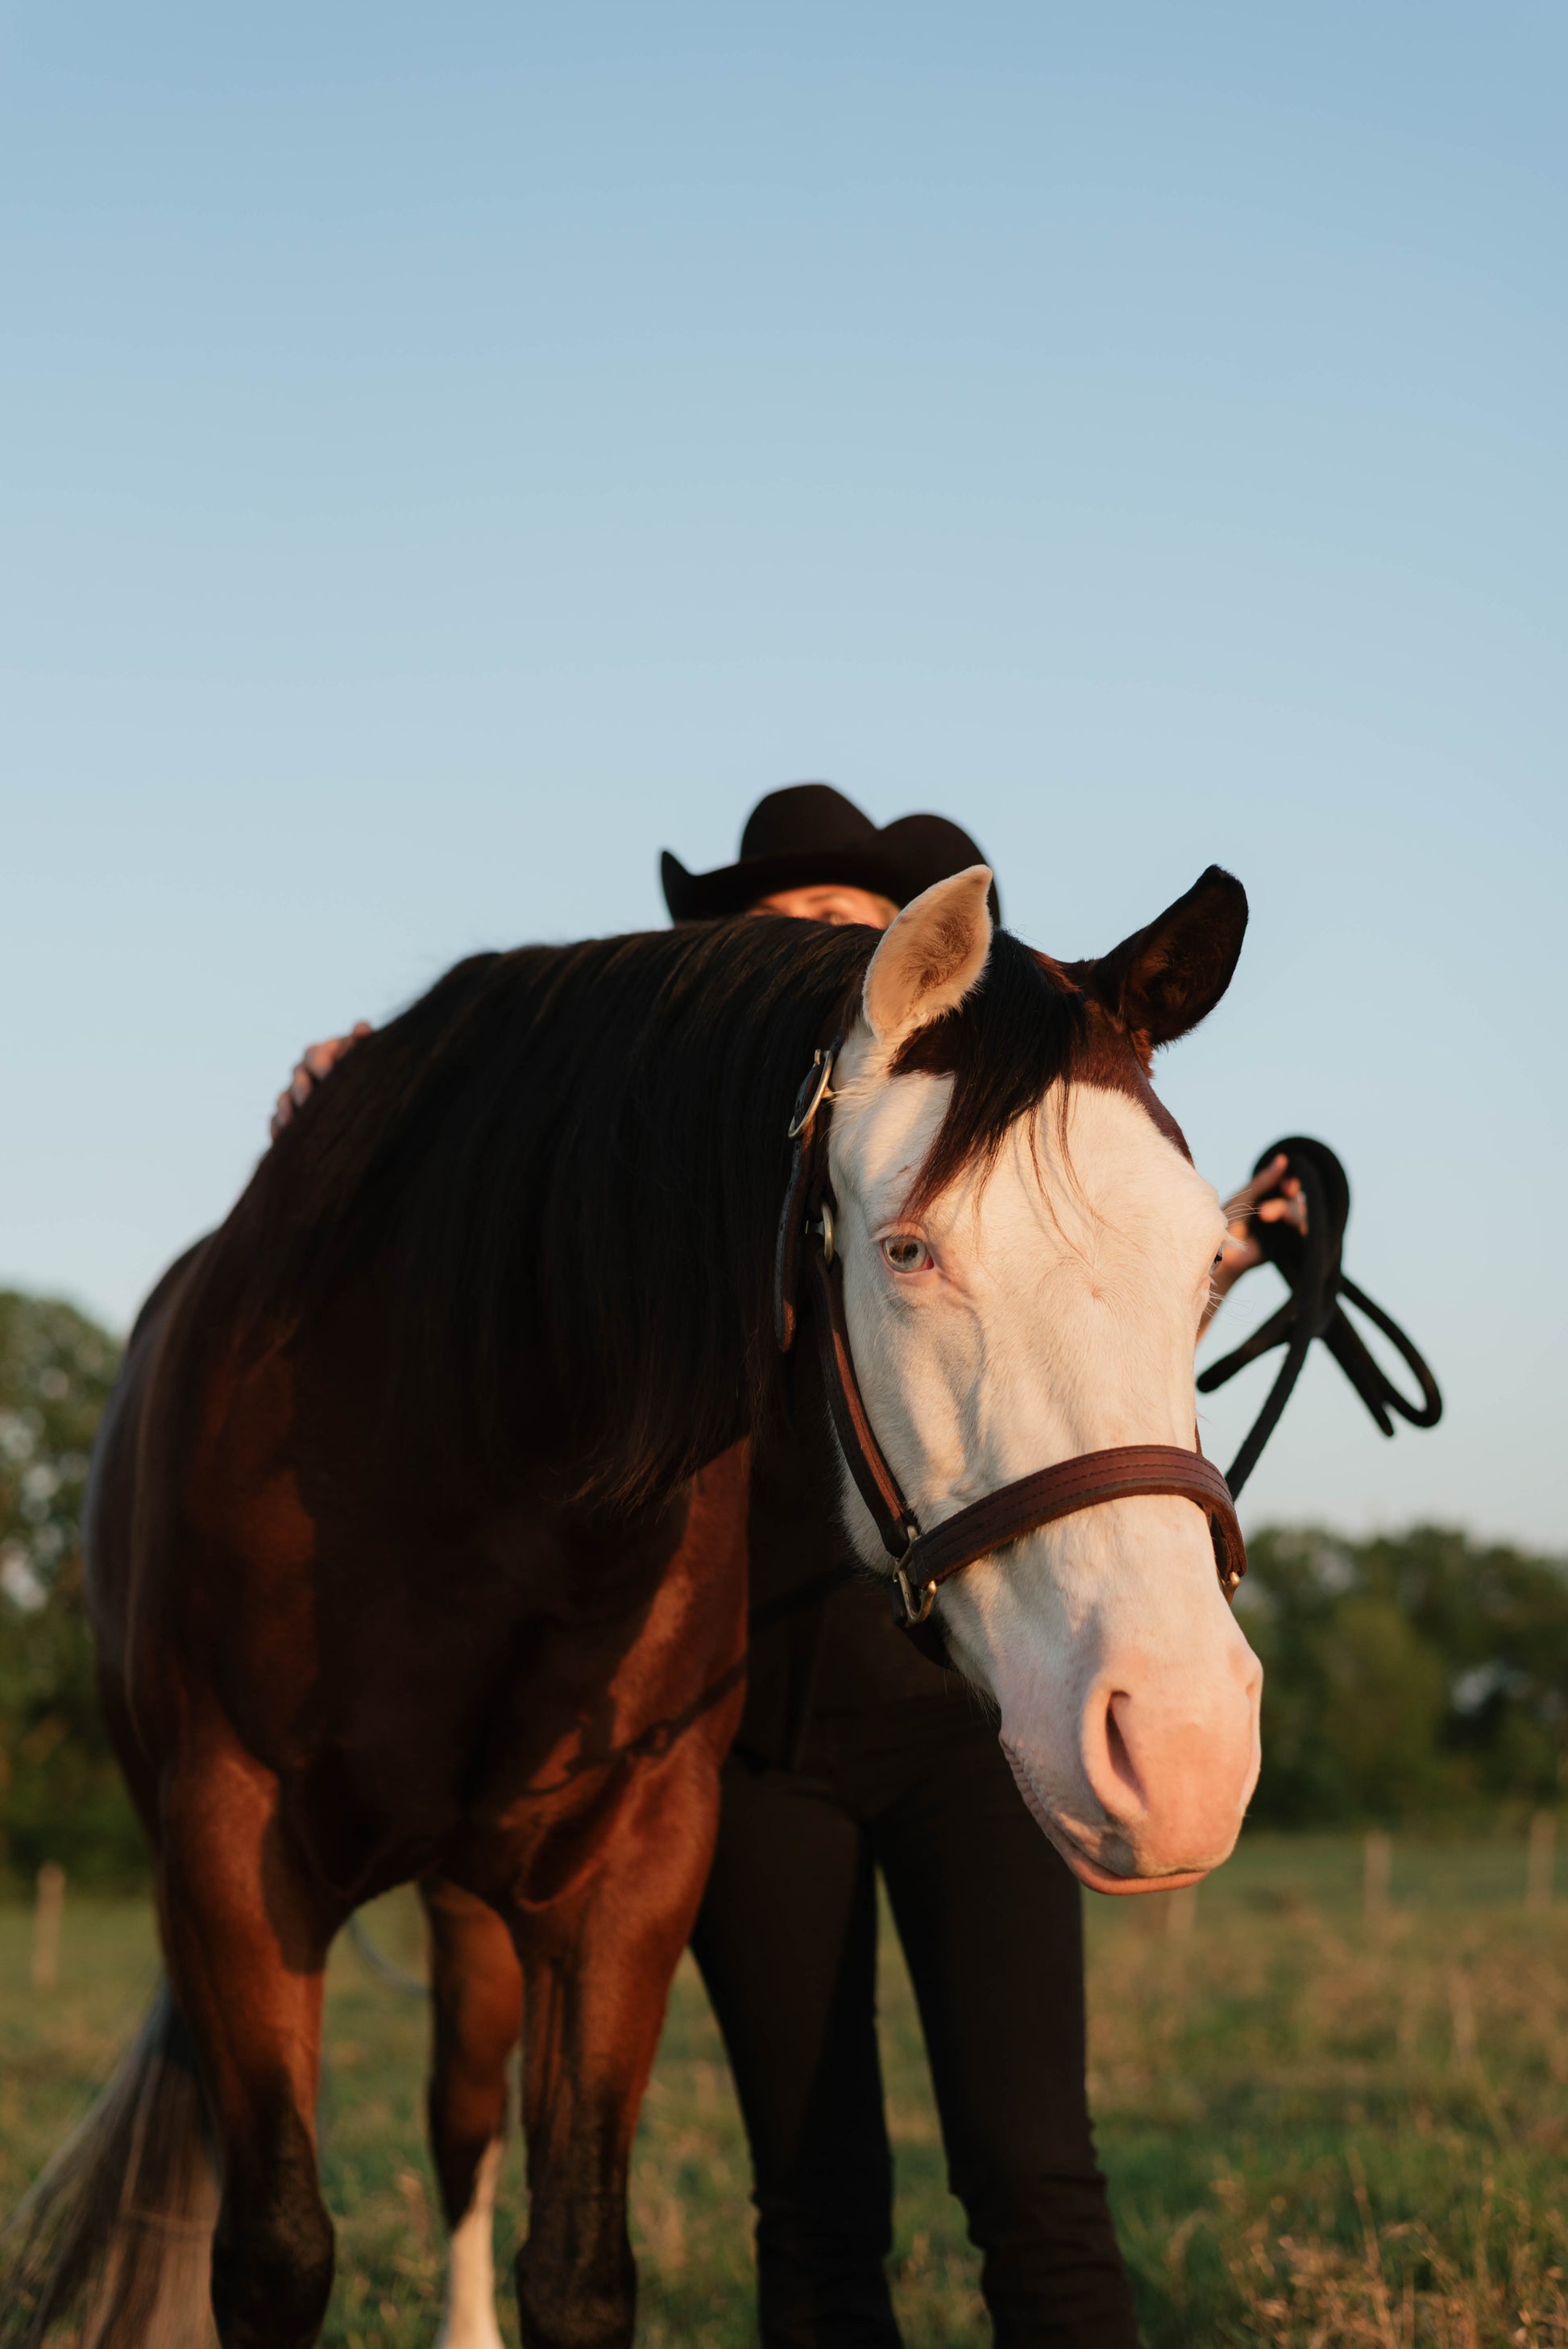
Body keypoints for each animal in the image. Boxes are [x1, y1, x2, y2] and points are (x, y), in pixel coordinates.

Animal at [3, 862, 1263, 2349]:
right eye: (907, 1249)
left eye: (1211, 1265)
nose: (1181, 1746)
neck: (451, 1427)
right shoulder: (227, 1855)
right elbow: (274, 2256)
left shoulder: (631, 1873)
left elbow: (578, 2266)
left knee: (462, 2117)